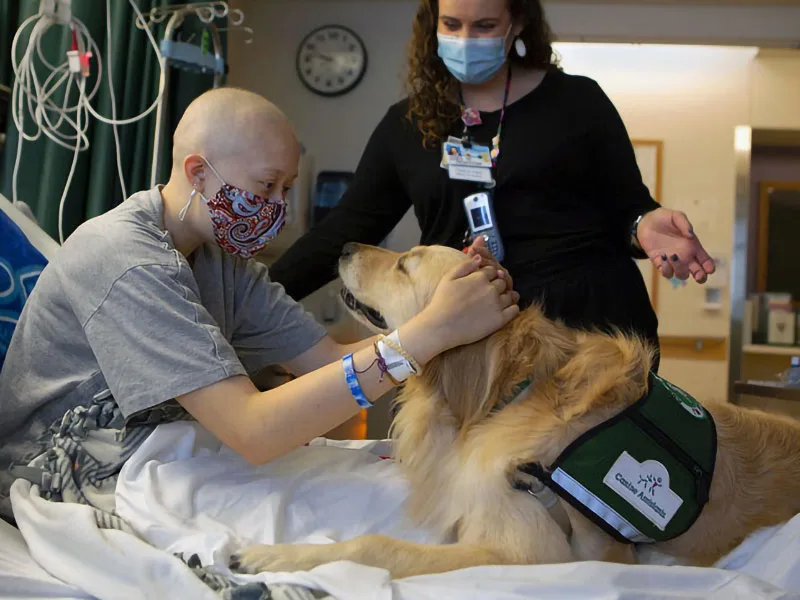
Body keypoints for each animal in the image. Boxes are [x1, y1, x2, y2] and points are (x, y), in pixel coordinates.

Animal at [234, 243, 800, 576]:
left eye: (405, 262)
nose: (347, 244)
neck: (509, 396)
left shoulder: (530, 553)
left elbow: (377, 544)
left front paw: (272, 554)